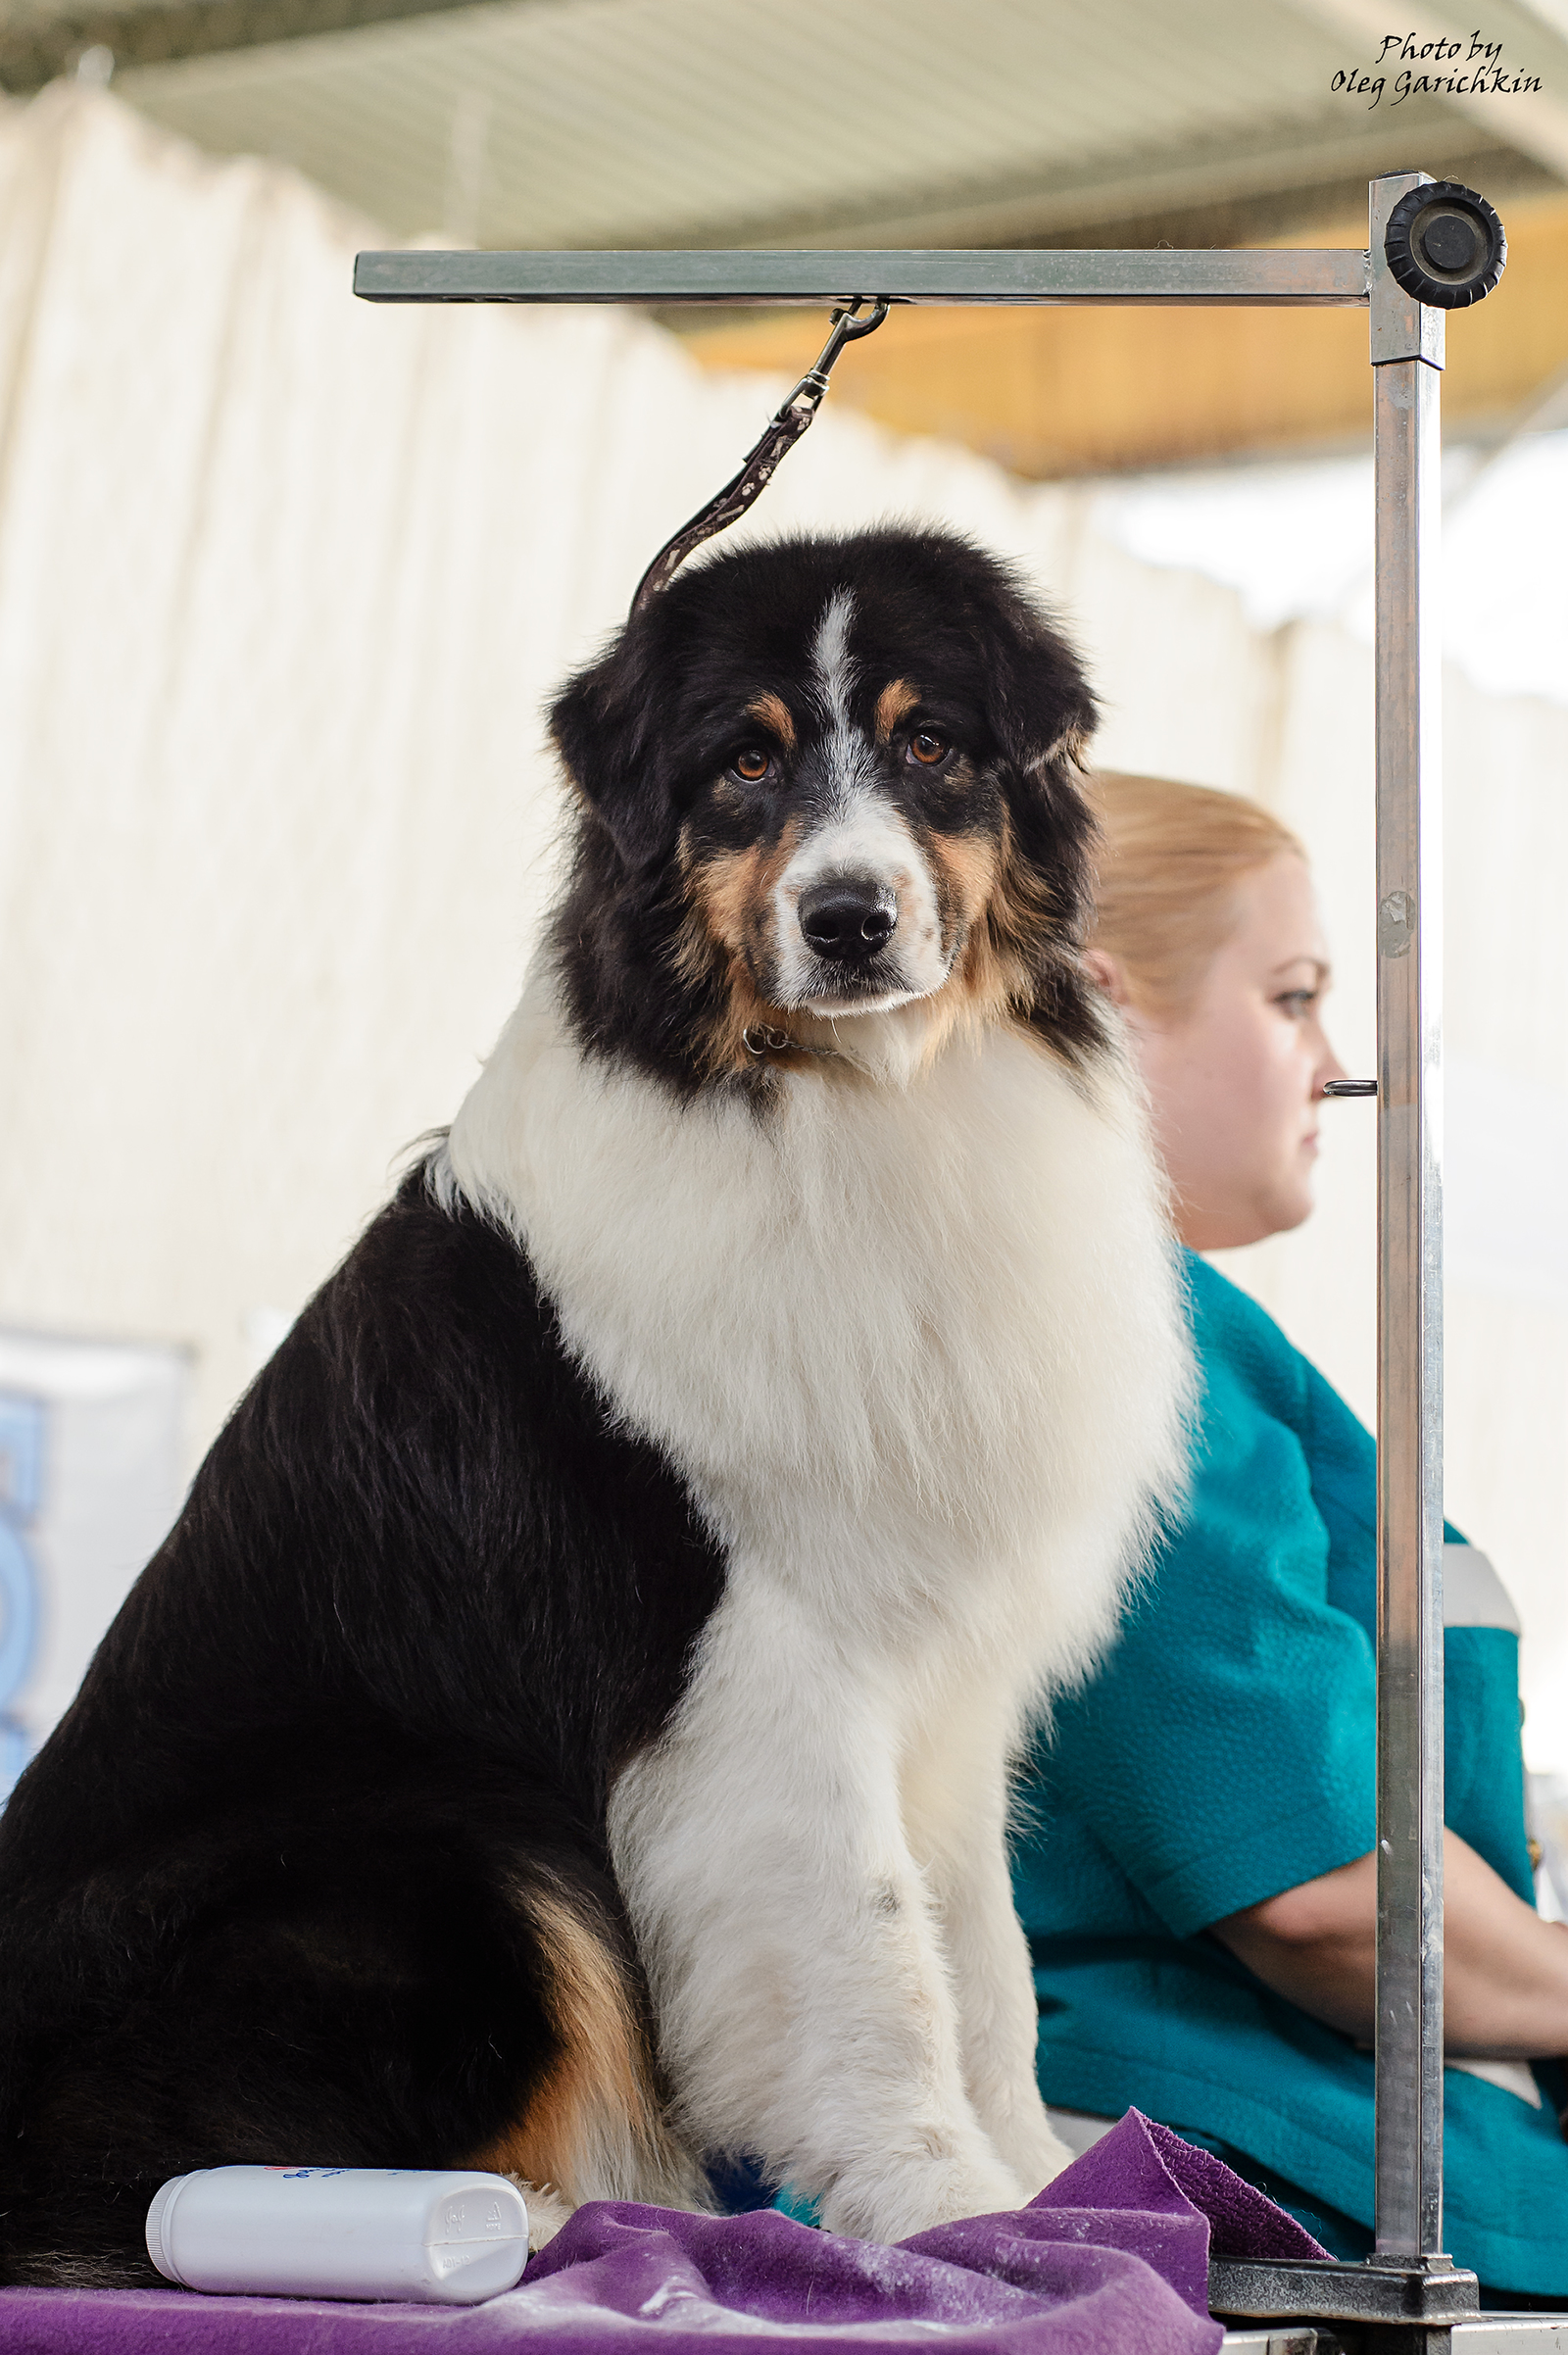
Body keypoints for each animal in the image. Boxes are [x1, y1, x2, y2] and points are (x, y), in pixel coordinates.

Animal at [0, 529, 1186, 2280]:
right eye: (745, 762)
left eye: (932, 743)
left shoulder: (945, 1664)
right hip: (464, 1835)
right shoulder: (765, 1652)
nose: (848, 918)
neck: (836, 1099)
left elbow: (989, 1956)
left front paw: (1047, 2181)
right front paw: (941, 2208)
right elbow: (877, 1948)